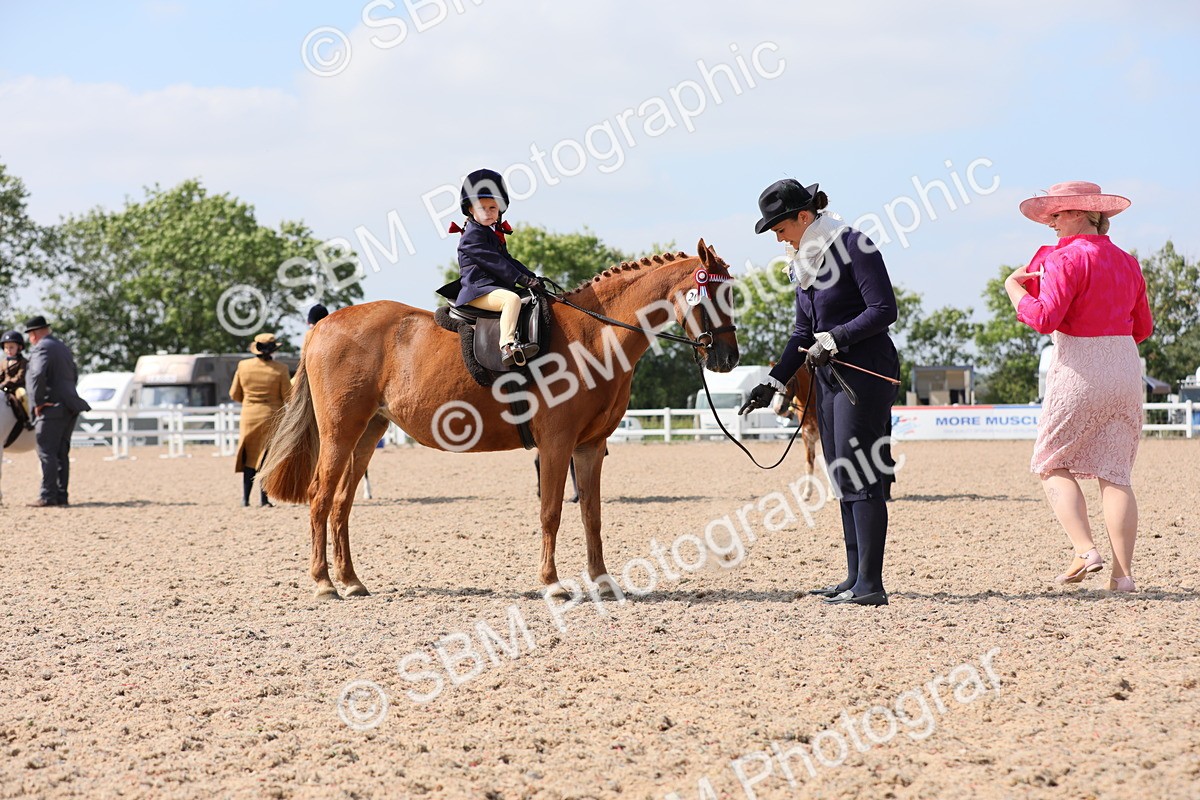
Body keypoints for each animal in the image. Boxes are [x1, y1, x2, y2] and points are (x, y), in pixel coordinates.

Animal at [260, 240, 740, 599]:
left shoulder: (590, 446)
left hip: (368, 432)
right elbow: (551, 512)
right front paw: (552, 584)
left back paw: (351, 581)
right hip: (340, 432)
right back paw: (324, 584)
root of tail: (323, 326)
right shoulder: (556, 444)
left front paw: (602, 582)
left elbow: (592, 514)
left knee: (342, 503)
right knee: (321, 498)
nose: (727, 358)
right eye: (715, 295)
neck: (593, 336)